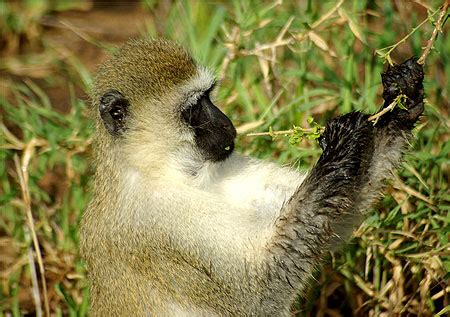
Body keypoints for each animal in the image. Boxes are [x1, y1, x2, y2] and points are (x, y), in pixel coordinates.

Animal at [80, 38, 422, 314]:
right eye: (193, 109)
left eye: (209, 97)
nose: (225, 123)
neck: (165, 168)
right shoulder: (155, 218)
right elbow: (259, 291)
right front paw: (339, 150)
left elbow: (337, 224)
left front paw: (400, 103)